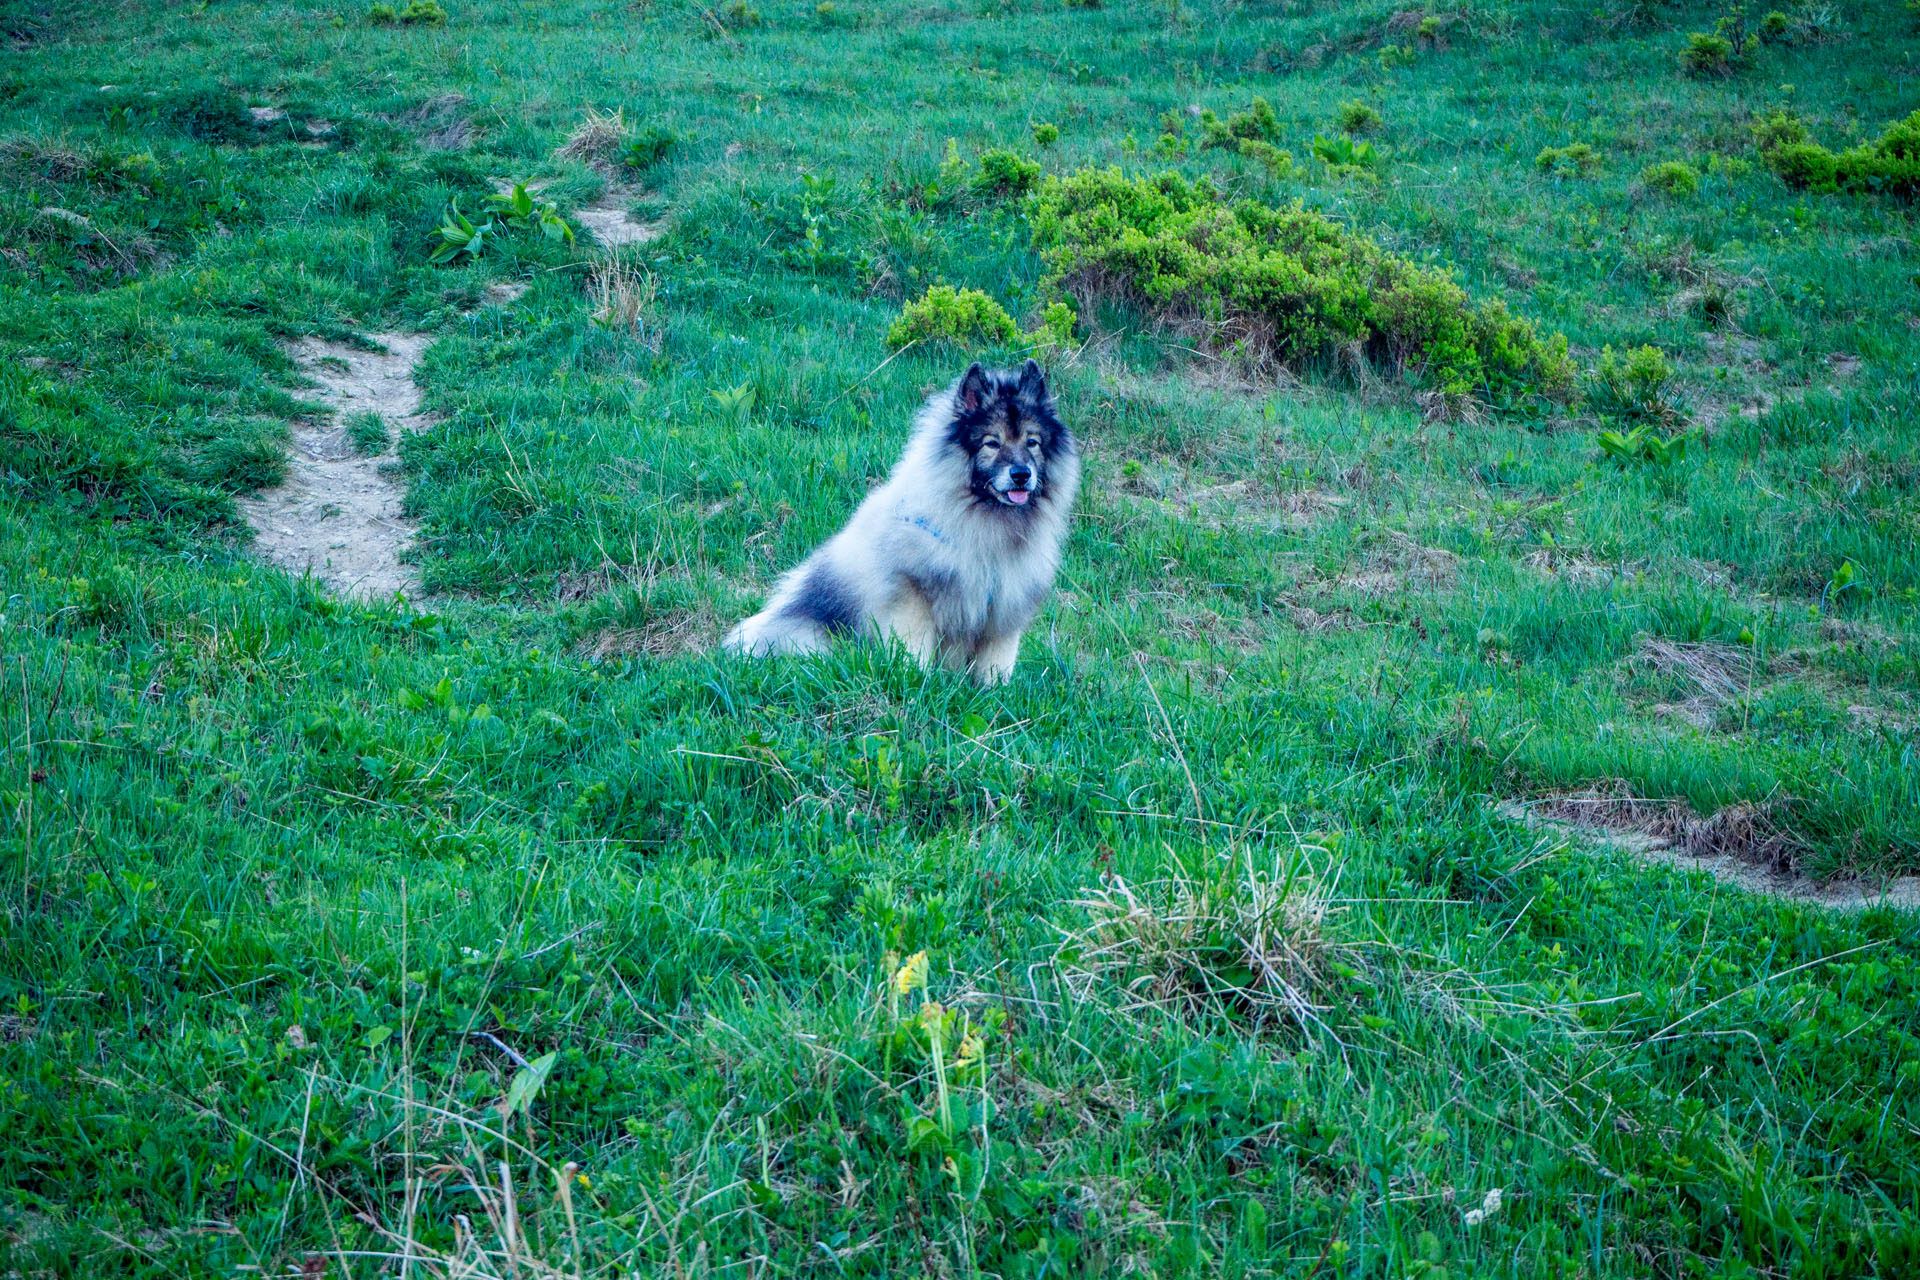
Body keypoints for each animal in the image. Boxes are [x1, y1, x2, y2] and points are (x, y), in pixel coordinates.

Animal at [721, 355, 1082, 687]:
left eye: (1032, 442)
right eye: (992, 443)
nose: (1022, 474)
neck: (986, 522)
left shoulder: (1004, 611)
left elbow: (996, 664)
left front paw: (993, 692)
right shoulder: (913, 596)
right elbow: (913, 648)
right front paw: (914, 680)